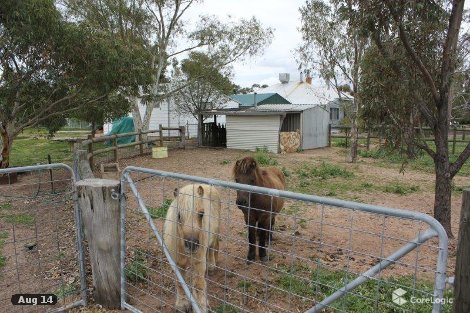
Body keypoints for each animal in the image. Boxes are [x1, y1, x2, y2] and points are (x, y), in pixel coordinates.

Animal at [162, 183, 221, 312]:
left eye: (201, 214)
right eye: (179, 215)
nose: (192, 244)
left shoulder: (199, 262)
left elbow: (198, 285)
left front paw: (201, 307)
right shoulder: (178, 262)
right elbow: (180, 282)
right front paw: (182, 304)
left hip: (214, 235)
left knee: (212, 248)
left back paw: (212, 265)